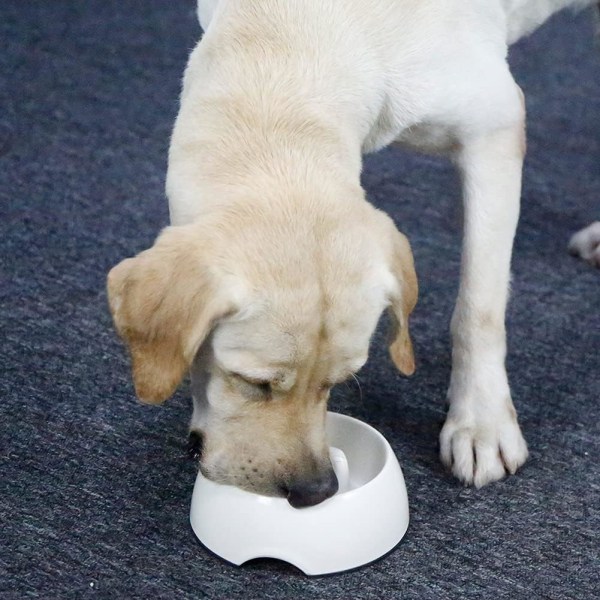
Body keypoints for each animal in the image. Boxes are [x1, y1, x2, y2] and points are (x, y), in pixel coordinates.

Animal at [106, 0, 596, 506]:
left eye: (337, 382)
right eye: (253, 383)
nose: (315, 492)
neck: (290, 42)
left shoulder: (494, 128)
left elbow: (478, 307)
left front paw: (481, 421)